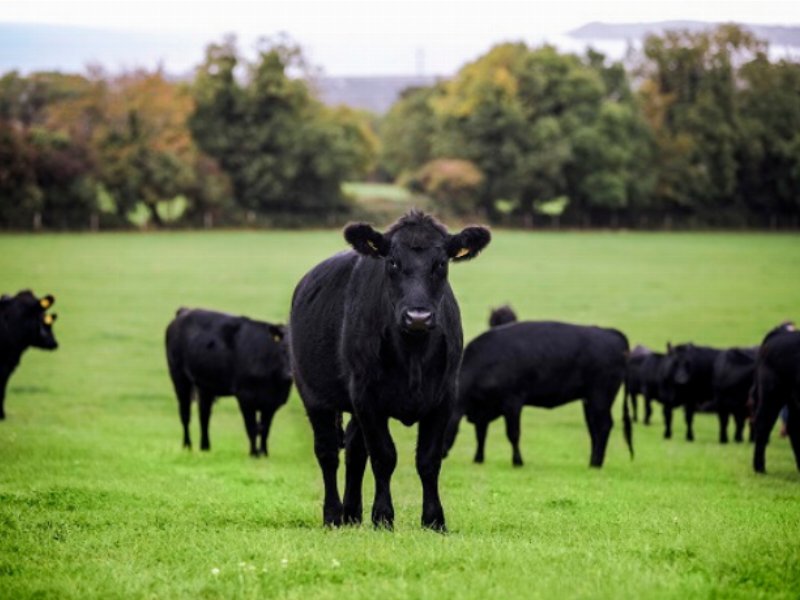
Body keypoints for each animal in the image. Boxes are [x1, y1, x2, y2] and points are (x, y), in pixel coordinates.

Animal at [164, 310, 292, 454]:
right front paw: (254, 453)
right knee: (185, 413)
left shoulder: (272, 403)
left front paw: (264, 453)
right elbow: (252, 428)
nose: (290, 374)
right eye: (283, 348)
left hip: (205, 386)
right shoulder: (245, 397)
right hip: (180, 378)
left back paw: (205, 447)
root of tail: (185, 311)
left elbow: (265, 429)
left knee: (204, 415)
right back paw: (187, 445)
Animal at [288, 211, 488, 528]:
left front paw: (434, 520)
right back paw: (333, 515)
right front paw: (383, 517)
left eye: (441, 263)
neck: (413, 356)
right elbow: (384, 456)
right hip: (313, 393)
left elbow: (428, 459)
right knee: (328, 451)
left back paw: (352, 514)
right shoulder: (367, 396)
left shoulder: (444, 396)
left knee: (354, 450)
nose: (418, 316)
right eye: (392, 262)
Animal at [444, 312, 632, 472]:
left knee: (604, 425)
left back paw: (596, 464)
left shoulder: (513, 402)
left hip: (602, 396)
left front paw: (517, 462)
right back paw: (593, 461)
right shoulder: (482, 408)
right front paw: (478, 459)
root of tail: (610, 332)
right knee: (593, 428)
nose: (441, 455)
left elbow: (513, 434)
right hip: (589, 400)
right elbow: (481, 434)